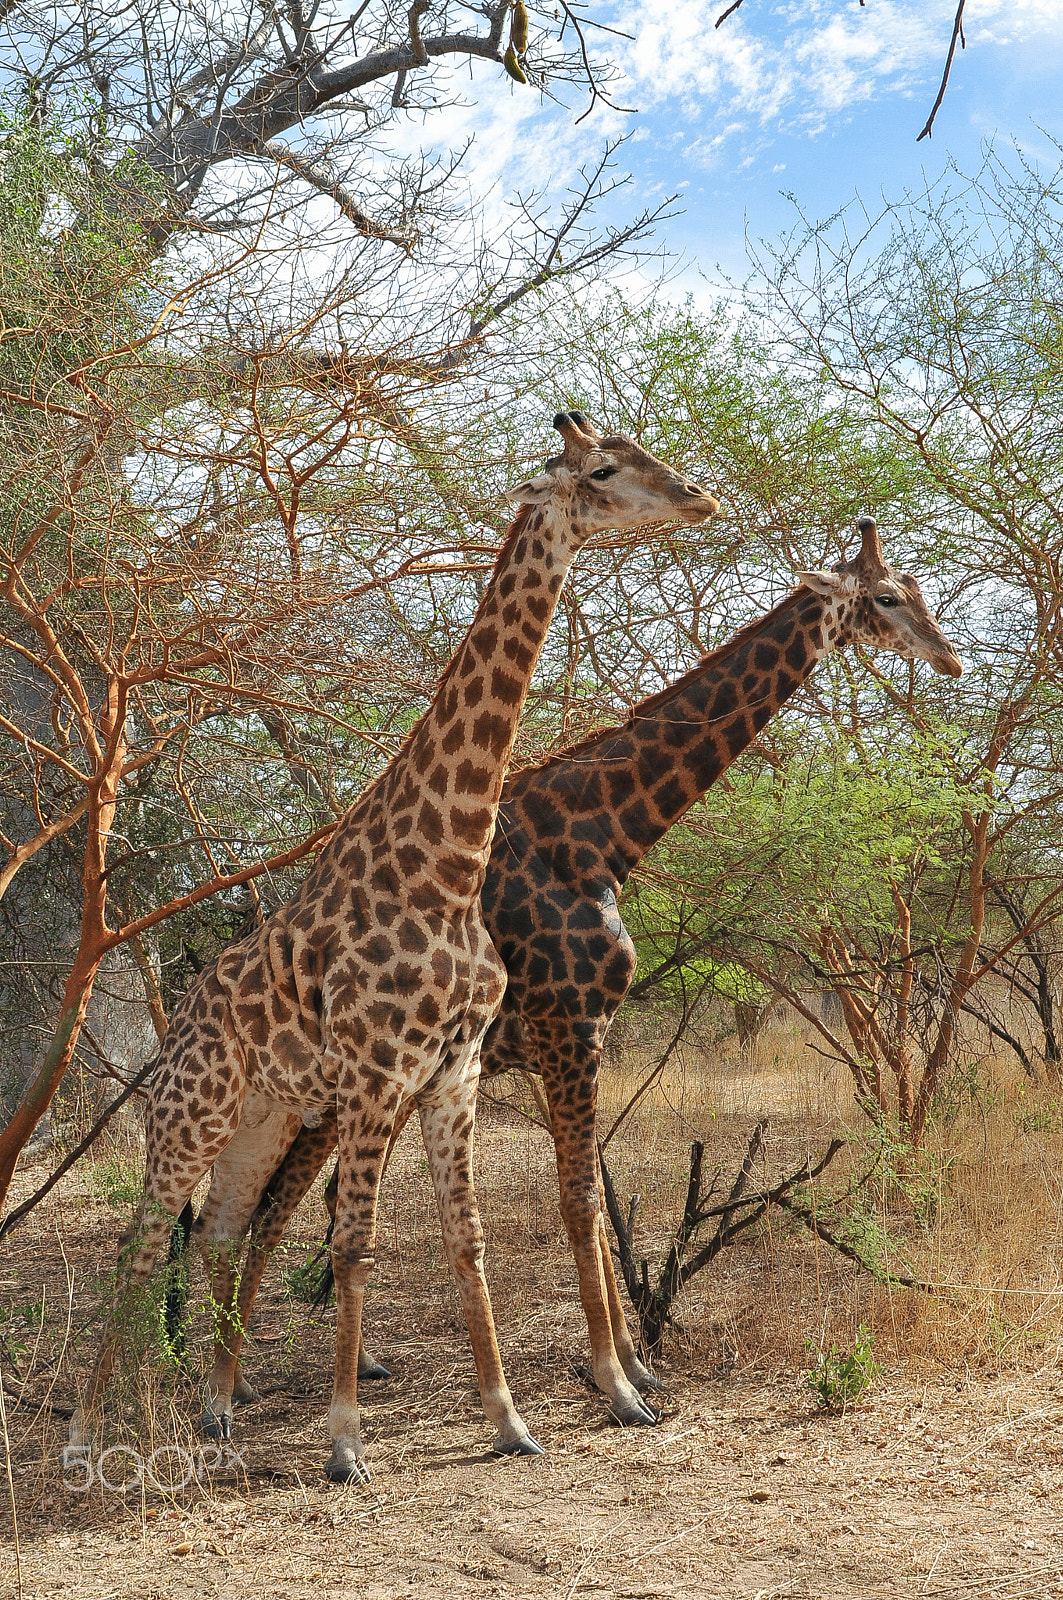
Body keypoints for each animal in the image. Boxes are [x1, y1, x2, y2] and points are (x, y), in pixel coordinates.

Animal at [70, 409, 717, 1472]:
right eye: (601, 469)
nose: (698, 498)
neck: (448, 866)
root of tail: (182, 1020)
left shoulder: (452, 1074)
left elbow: (467, 1240)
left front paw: (509, 1423)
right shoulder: (380, 1075)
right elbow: (356, 1244)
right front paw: (344, 1444)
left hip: (263, 1116)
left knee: (218, 1231)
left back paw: (214, 1413)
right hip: (194, 1113)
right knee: (138, 1241)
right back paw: (90, 1437)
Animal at [199, 518, 960, 1433]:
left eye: (917, 593)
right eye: (885, 598)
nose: (952, 661)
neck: (602, 834)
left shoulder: (578, 1035)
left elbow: (593, 1201)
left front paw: (635, 1365)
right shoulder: (571, 1026)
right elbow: (579, 1204)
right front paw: (614, 1381)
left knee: (286, 1206)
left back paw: (301, 1372)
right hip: (332, 1088)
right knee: (269, 1208)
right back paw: (229, 1388)